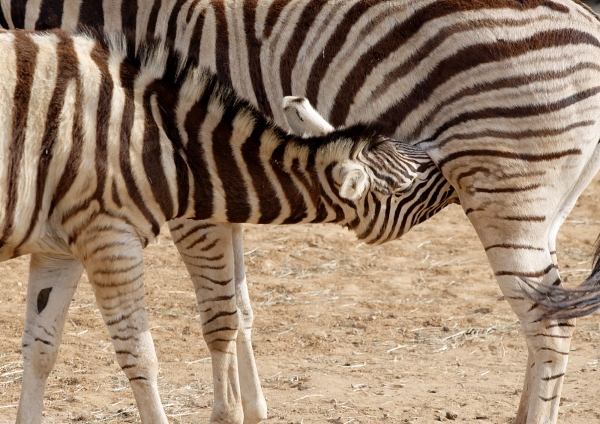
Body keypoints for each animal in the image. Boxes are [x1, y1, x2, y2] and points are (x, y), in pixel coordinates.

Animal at [1, 0, 600, 424]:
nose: (437, 154)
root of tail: (588, 22)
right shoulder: (204, 189)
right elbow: (234, 309)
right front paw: (249, 411)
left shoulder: (191, 193)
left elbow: (219, 315)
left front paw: (231, 412)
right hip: (544, 208)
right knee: (549, 311)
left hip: (511, 193)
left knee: (548, 322)